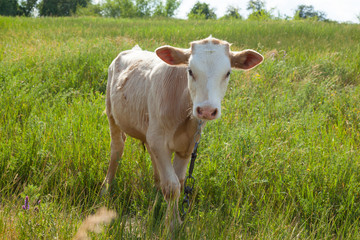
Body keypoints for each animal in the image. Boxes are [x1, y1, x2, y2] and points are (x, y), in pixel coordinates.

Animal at [102, 36, 262, 228]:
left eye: (228, 73)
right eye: (190, 71)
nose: (206, 110)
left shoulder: (187, 146)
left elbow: (179, 181)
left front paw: (175, 220)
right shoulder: (159, 140)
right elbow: (172, 187)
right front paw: (171, 224)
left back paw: (156, 191)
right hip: (111, 113)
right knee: (117, 149)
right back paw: (106, 187)